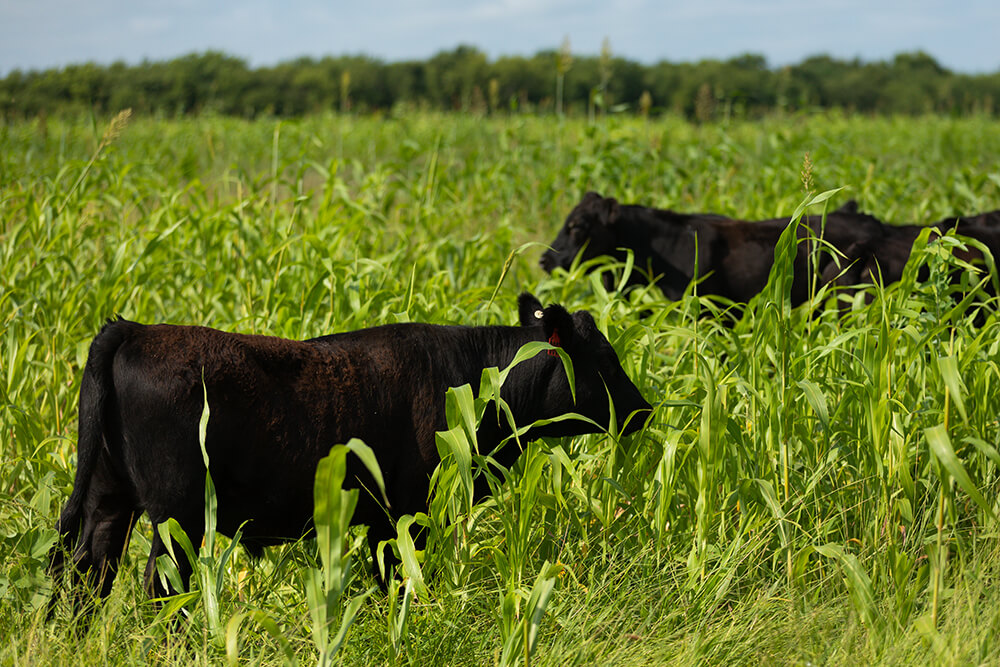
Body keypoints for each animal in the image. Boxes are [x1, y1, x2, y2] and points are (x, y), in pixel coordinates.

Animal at [50, 294, 652, 608]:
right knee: (158, 588)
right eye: (605, 357)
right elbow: (404, 578)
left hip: (108, 499)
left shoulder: (379, 518)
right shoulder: (410, 509)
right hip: (177, 515)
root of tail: (133, 329)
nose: (644, 409)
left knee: (84, 575)